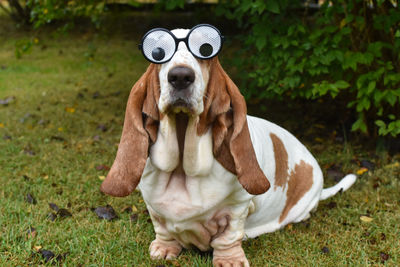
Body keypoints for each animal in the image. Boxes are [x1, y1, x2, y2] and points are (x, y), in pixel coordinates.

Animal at [101, 25, 356, 267]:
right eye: (157, 53)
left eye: (205, 50)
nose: (181, 76)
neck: (183, 165)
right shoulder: (154, 206)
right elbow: (162, 228)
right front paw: (165, 248)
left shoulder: (238, 206)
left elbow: (228, 236)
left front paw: (229, 260)